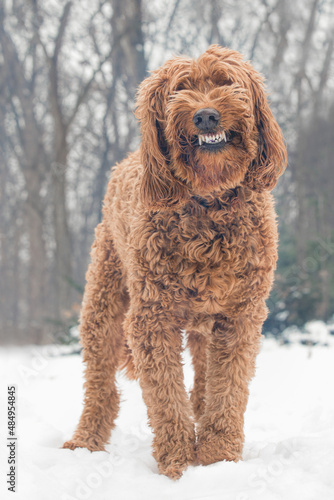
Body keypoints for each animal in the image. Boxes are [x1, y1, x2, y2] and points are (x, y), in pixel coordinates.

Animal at [63, 47, 288, 480]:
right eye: (180, 90)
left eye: (223, 82)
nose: (205, 116)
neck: (209, 203)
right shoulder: (152, 317)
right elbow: (166, 398)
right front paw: (177, 463)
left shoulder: (239, 315)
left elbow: (227, 390)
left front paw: (218, 459)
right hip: (103, 306)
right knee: (100, 385)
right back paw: (84, 443)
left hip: (203, 325)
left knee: (202, 380)